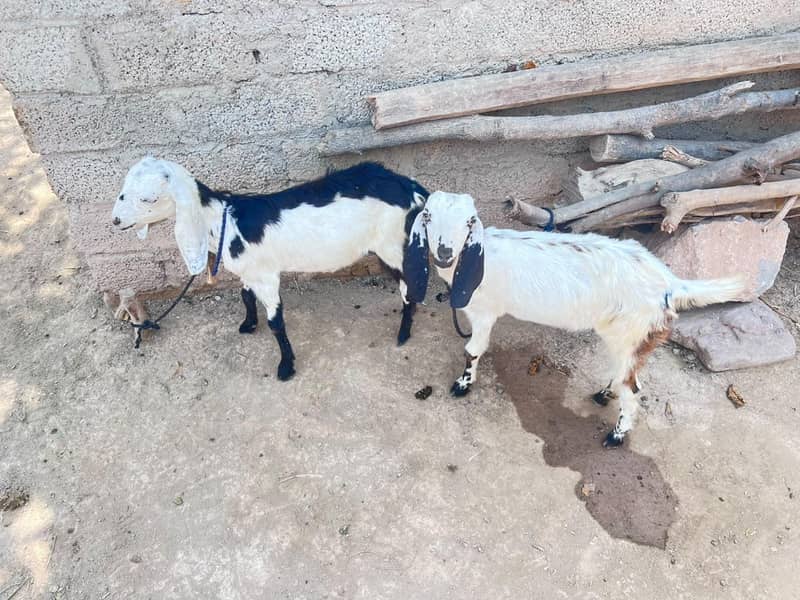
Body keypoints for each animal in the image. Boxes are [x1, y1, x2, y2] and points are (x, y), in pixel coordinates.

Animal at [112, 157, 429, 380]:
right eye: (123, 192)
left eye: (149, 198)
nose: (115, 221)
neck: (225, 221)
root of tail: (412, 189)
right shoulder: (250, 272)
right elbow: (245, 296)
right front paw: (249, 324)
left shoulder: (266, 276)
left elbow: (276, 321)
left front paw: (286, 367)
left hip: (392, 244)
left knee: (409, 284)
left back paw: (403, 334)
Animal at [404, 191, 744, 447]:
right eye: (428, 216)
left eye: (469, 221)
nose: (445, 252)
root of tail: (670, 284)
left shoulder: (485, 313)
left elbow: (472, 351)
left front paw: (463, 384)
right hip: (622, 335)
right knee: (622, 374)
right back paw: (604, 394)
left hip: (634, 332)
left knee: (633, 388)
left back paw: (616, 435)